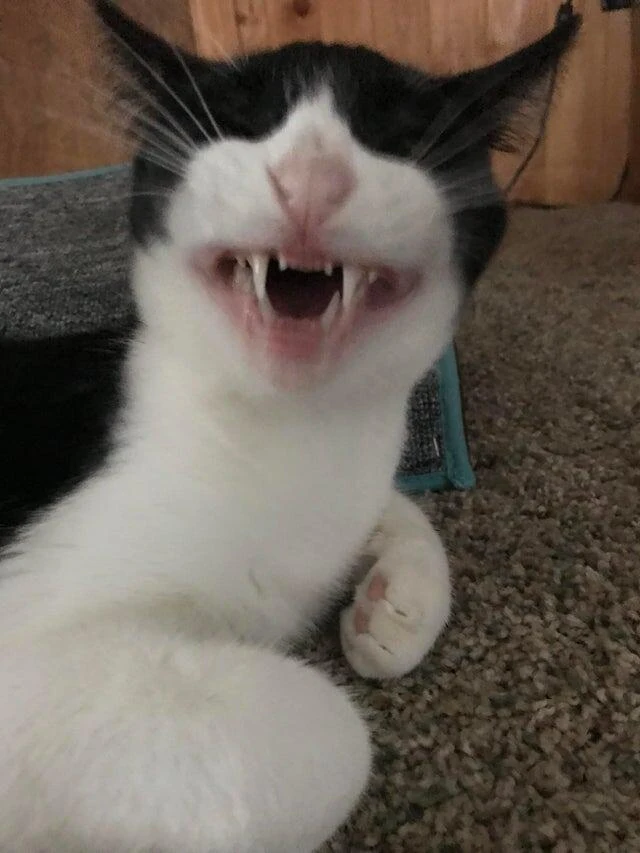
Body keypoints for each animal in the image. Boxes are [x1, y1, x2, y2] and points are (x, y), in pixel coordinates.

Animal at [0, 2, 579, 851]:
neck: (283, 432)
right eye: (240, 124)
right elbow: (333, 734)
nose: (312, 176)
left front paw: (396, 602)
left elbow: (393, 510)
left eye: (395, 135)